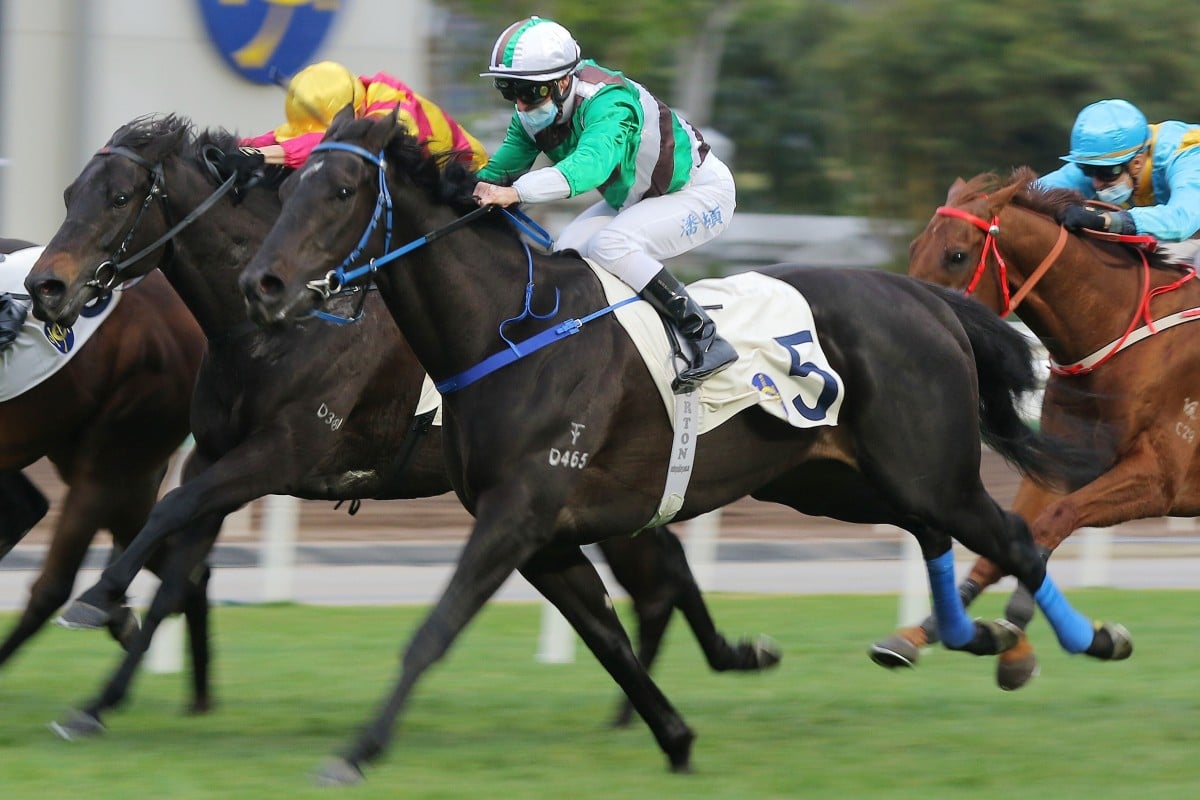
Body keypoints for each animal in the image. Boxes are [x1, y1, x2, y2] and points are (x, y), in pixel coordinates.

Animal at [23, 112, 782, 738]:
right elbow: (176, 574)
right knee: (664, 567)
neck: (279, 328)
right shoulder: (212, 454)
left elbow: (169, 515)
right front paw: (96, 704)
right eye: (67, 193)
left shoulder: (279, 452)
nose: (44, 287)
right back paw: (700, 675)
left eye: (120, 197)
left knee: (663, 571)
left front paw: (95, 599)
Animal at [236, 109, 1132, 786]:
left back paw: (1084, 640)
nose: (262, 285)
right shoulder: (543, 536)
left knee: (1011, 535)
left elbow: (436, 629)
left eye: (340, 191)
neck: (511, 328)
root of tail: (930, 299)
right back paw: (975, 637)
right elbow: (611, 642)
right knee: (934, 533)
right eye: (289, 188)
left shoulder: (518, 514)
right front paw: (676, 736)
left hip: (925, 467)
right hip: (832, 480)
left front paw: (355, 753)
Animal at [868, 164, 1185, 690]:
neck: (1117, 337)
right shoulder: (1059, 464)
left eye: (957, 254)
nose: (906, 322)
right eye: (914, 247)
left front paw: (1020, 627)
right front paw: (922, 635)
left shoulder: (1162, 478)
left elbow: (1051, 523)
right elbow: (1010, 538)